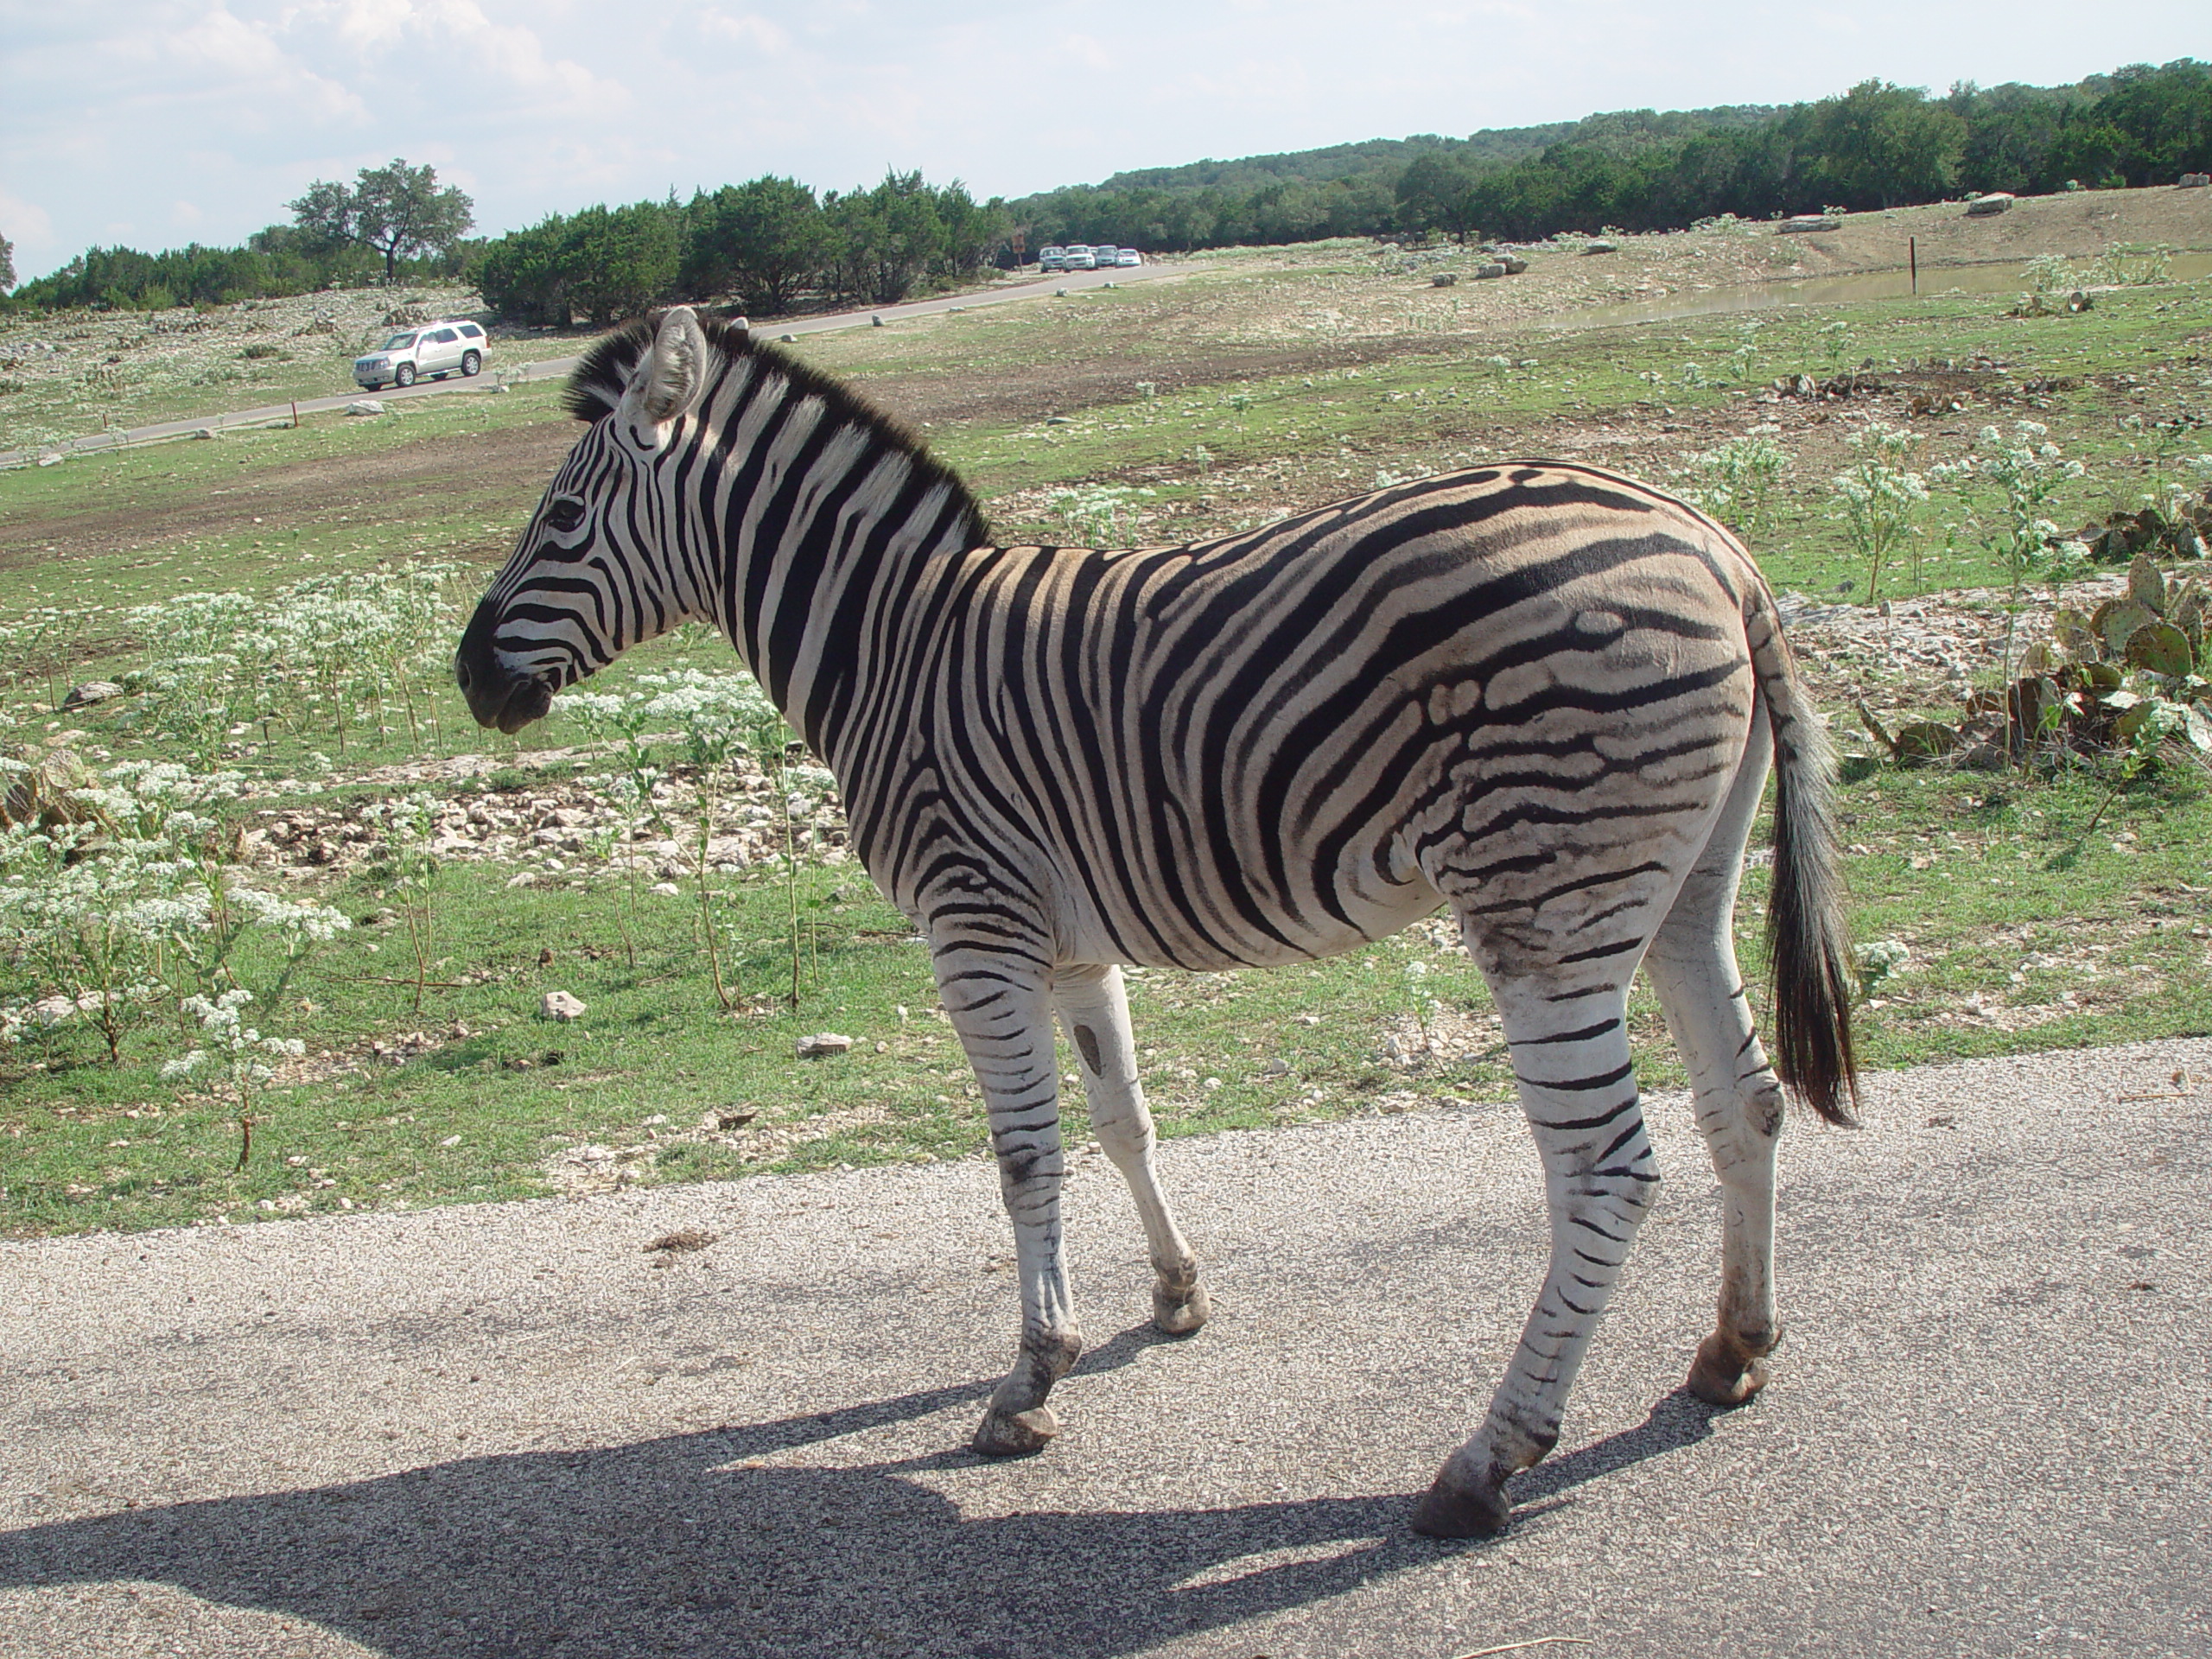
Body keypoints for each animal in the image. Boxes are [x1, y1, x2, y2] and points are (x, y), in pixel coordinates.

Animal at [457, 305, 1858, 1539]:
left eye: (563, 519)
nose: (470, 680)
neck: (888, 648)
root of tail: (1714, 546)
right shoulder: (1071, 942)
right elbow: (1121, 1120)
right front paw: (1175, 1297)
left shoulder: (972, 929)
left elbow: (1025, 1159)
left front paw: (1031, 1381)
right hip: (1684, 888)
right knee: (1745, 1104)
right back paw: (1733, 1352)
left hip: (1544, 906)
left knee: (1605, 1172)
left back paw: (1487, 1461)